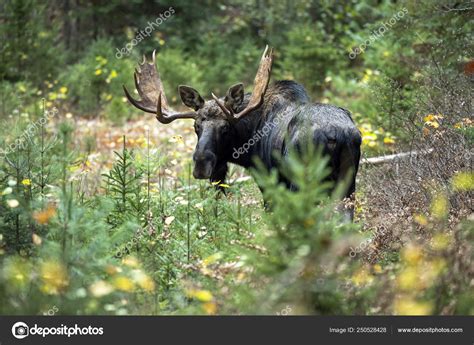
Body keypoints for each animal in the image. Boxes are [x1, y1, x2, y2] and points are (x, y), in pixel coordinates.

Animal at [124, 45, 362, 219]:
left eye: (225, 127)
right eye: (196, 126)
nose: (201, 164)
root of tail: (339, 134)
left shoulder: (269, 180)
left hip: (304, 179)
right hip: (348, 182)